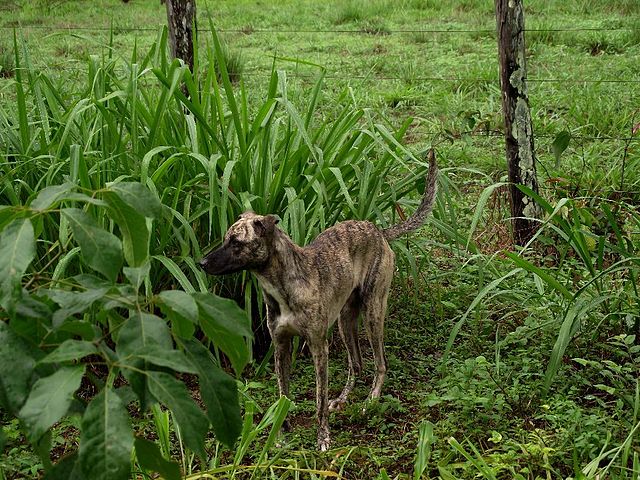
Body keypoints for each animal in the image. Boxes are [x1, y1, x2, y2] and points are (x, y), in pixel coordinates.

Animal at [199, 151, 440, 450]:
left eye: (236, 243)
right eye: (225, 239)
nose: (202, 263)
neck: (284, 283)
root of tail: (378, 230)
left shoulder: (318, 347)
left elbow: (319, 399)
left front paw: (323, 436)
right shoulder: (280, 346)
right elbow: (283, 395)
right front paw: (280, 434)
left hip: (373, 312)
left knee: (380, 363)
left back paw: (370, 400)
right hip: (345, 321)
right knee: (356, 364)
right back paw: (345, 398)